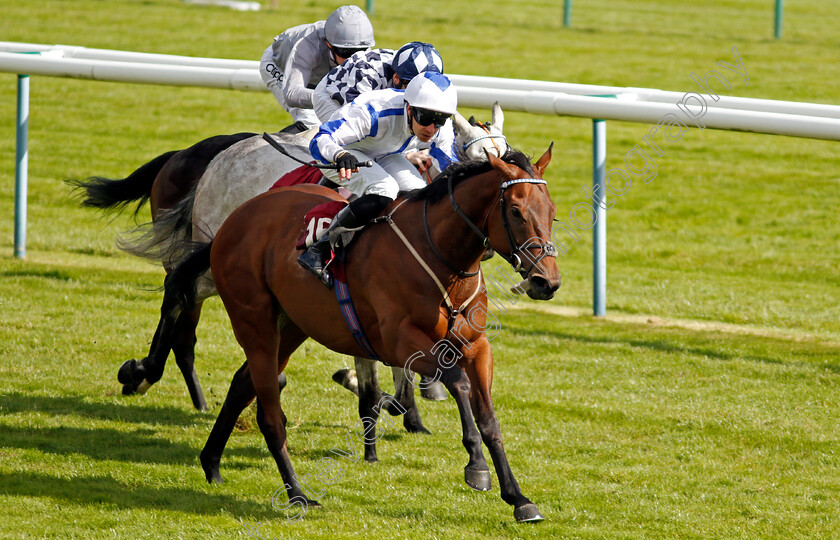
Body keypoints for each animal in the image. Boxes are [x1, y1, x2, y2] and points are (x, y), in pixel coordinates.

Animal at [79, 106, 508, 418]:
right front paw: (362, 384)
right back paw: (147, 375)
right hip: (213, 252)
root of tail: (218, 156)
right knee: (180, 302)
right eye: (480, 158)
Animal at [161, 146, 560, 520]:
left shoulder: (477, 347)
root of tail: (233, 222)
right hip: (254, 321)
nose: (547, 282)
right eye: (515, 211)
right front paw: (476, 466)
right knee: (269, 414)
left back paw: (212, 462)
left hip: (292, 325)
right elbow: (457, 382)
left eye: (552, 211)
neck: (440, 258)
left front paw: (519, 498)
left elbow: (489, 419)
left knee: (243, 382)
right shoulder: (402, 343)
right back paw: (297, 494)